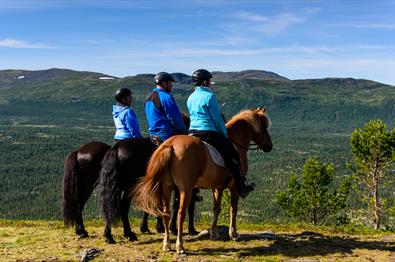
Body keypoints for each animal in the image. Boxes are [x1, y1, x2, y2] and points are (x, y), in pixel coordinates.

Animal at [133, 107, 272, 253]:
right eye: (264, 126)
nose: (270, 146)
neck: (235, 144)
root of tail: (170, 145)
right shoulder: (234, 187)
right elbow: (233, 209)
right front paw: (233, 234)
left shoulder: (217, 187)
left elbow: (217, 208)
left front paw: (214, 233)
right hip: (186, 189)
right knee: (180, 213)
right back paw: (180, 246)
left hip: (166, 187)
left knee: (166, 213)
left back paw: (167, 245)